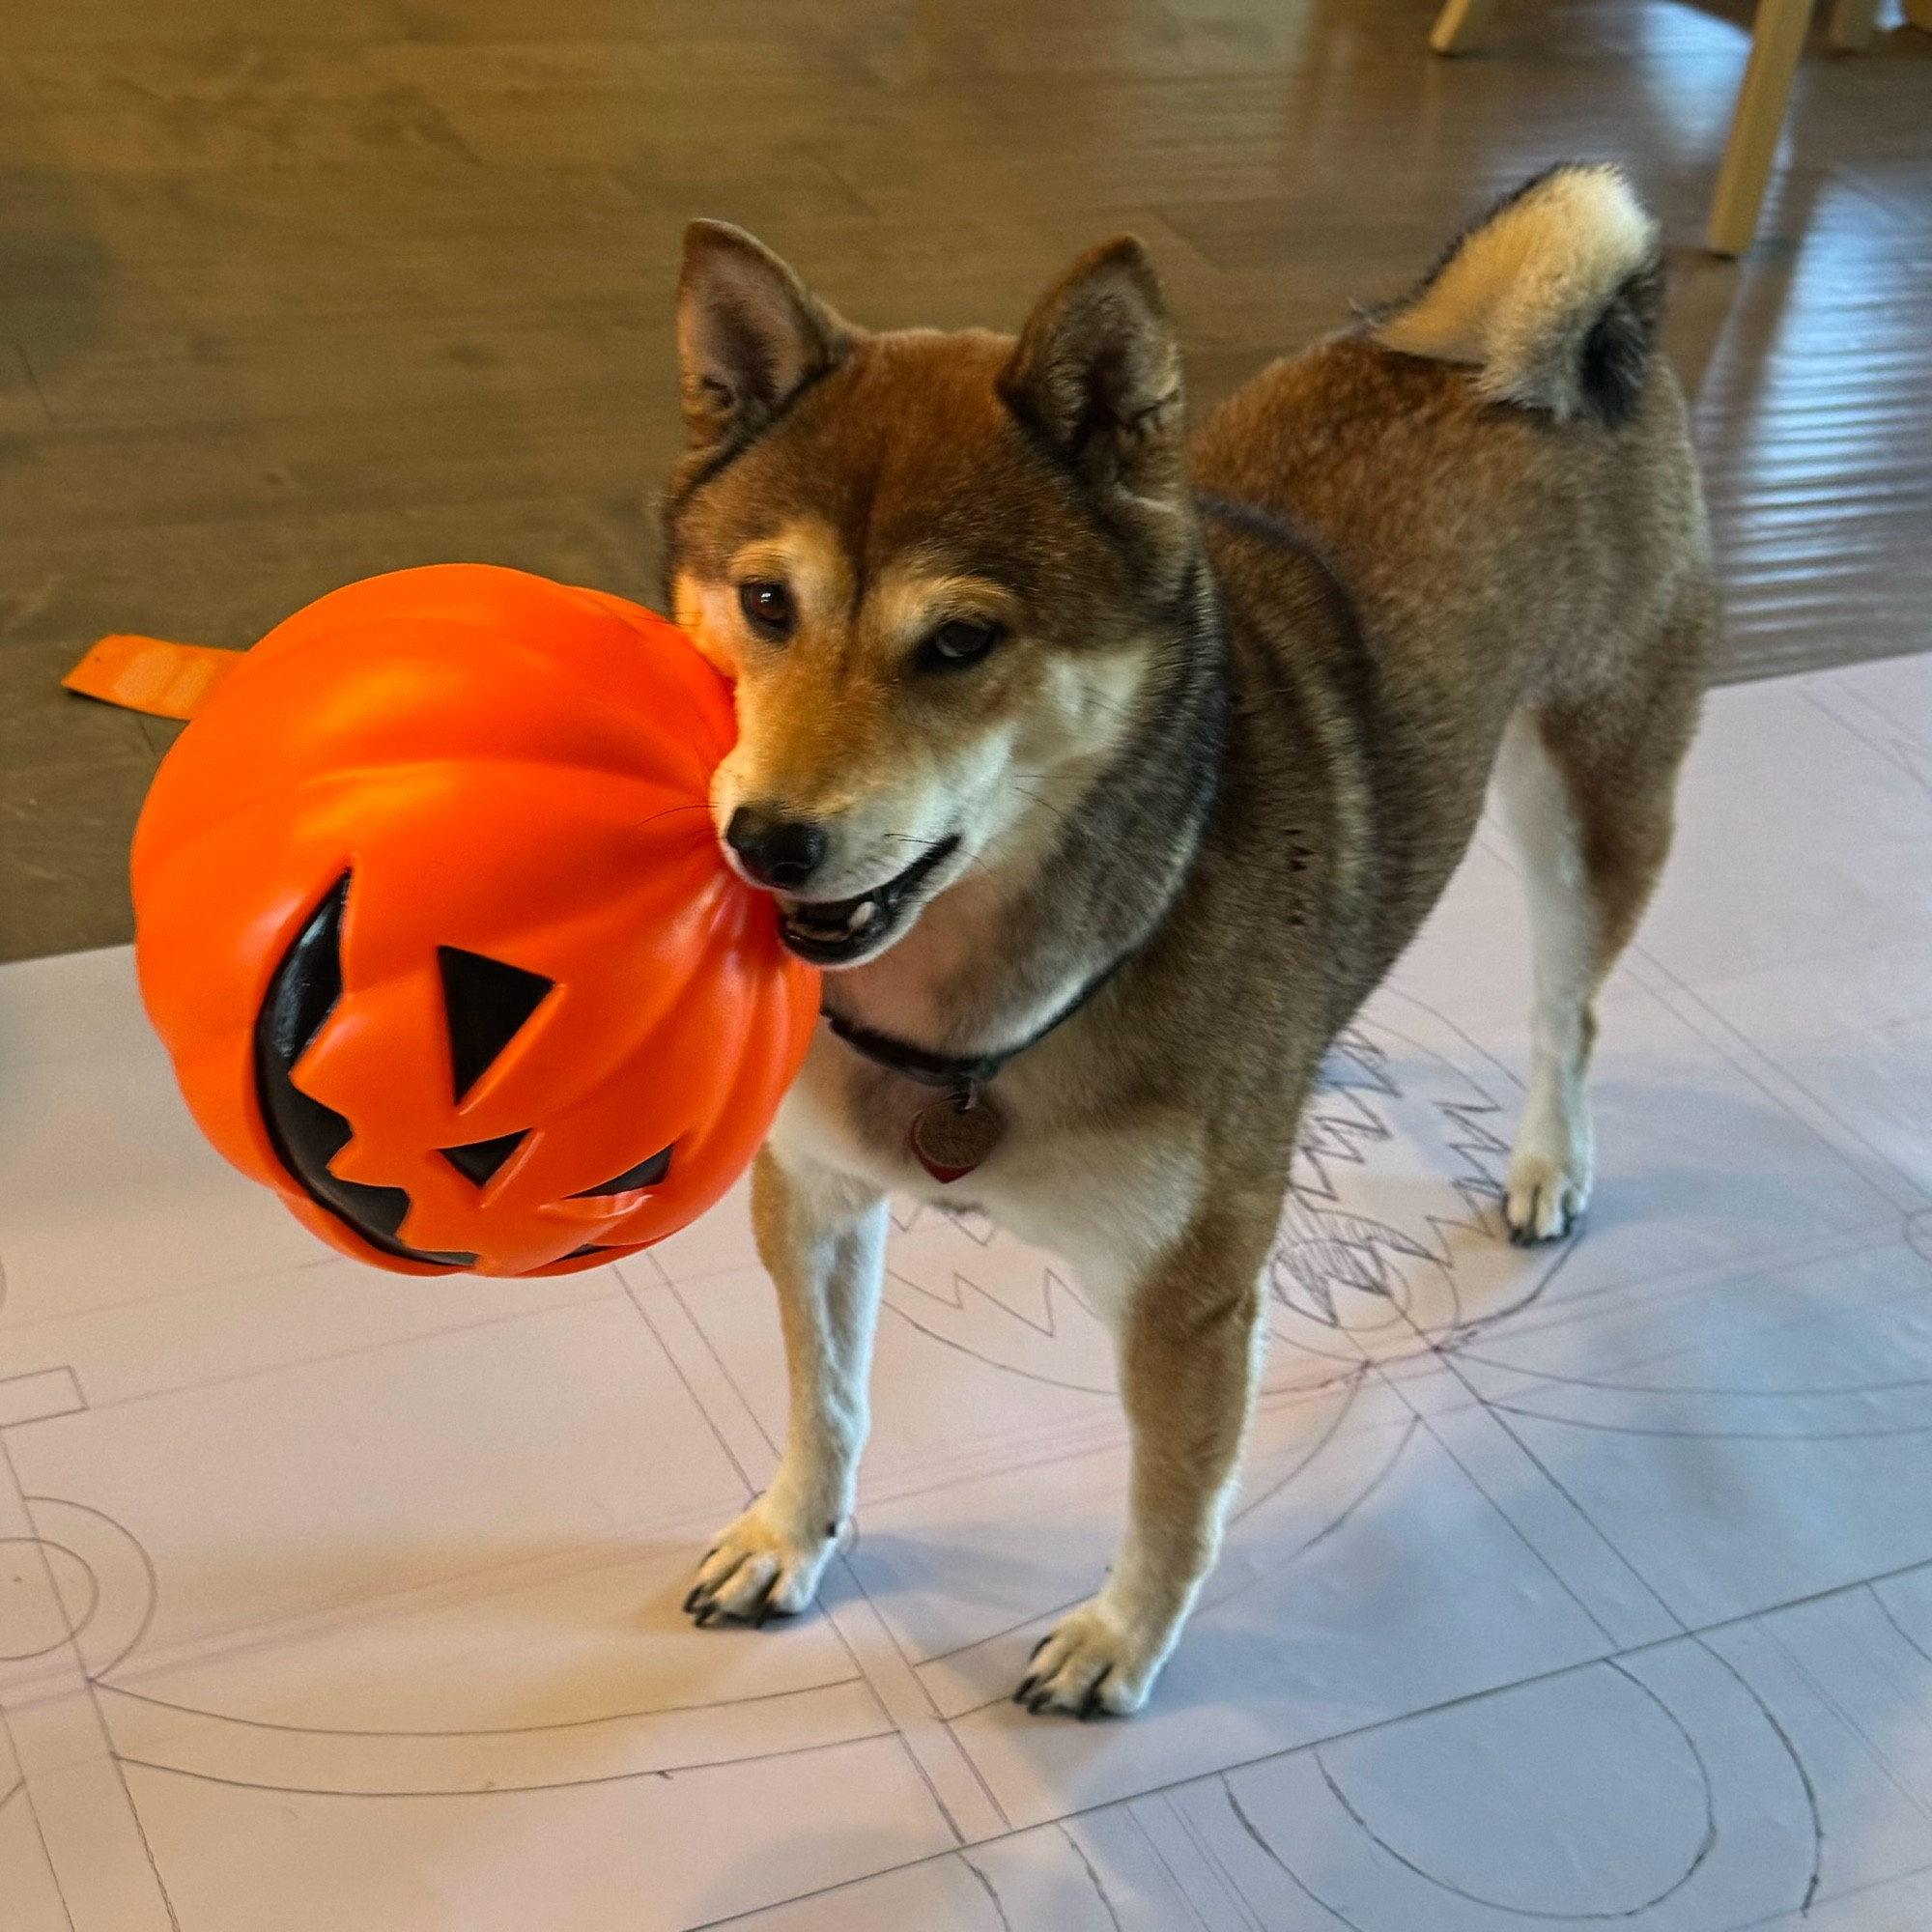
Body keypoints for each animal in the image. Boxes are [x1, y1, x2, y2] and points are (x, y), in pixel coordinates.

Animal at [668, 158, 1723, 1716]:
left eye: (959, 642)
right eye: (763, 601)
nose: (766, 840)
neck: (965, 1030)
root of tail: (1548, 346)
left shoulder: (1190, 1302)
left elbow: (1173, 1498)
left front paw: (1119, 1642)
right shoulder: (812, 1190)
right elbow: (829, 1398)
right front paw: (789, 1536)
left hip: (1587, 807)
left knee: (1566, 1012)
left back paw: (1548, 1163)